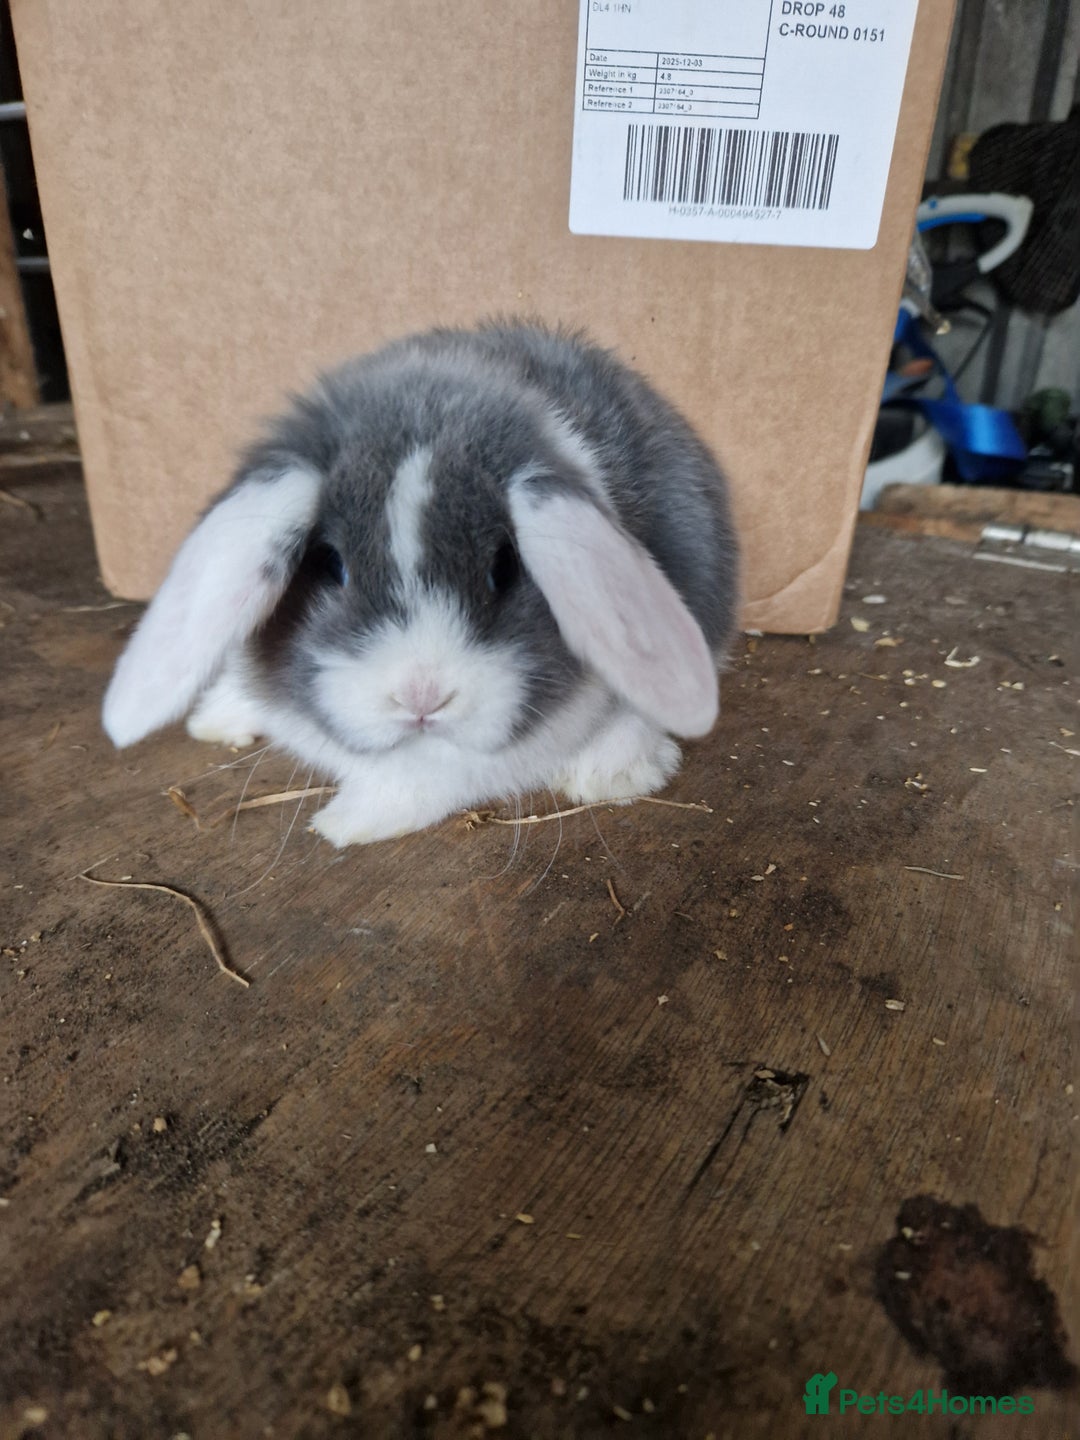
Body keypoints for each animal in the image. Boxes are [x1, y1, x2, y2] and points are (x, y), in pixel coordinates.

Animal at [102, 321, 740, 846]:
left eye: (503, 567)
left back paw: (608, 773)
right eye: (329, 564)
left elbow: (417, 785)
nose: (422, 697)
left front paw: (344, 823)